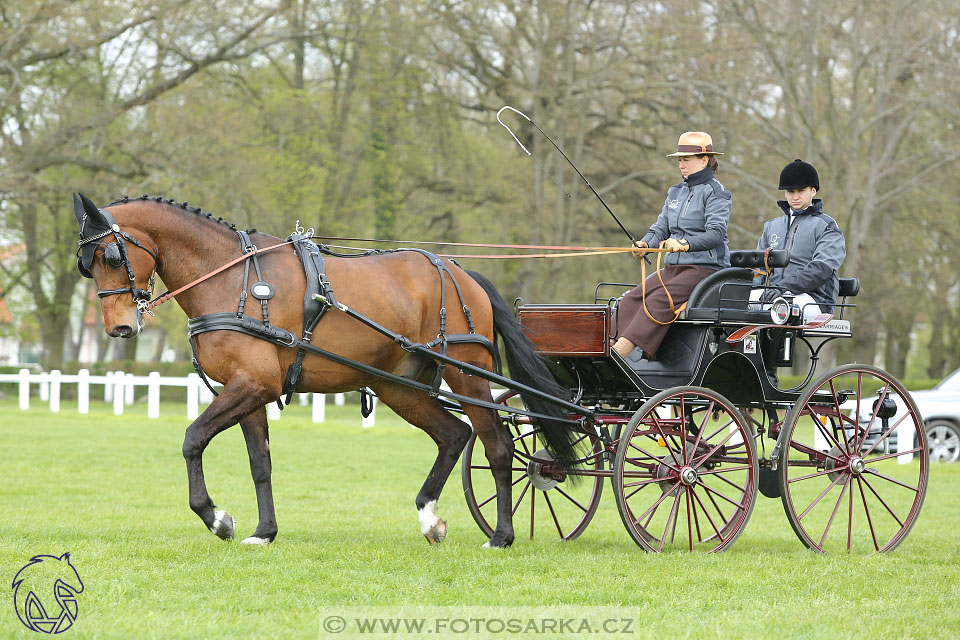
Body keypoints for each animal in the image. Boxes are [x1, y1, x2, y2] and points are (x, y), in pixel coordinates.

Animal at [73, 192, 576, 548]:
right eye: (85, 266)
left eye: (112, 257)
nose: (119, 326)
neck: (230, 280)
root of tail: (459, 271)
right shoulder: (247, 390)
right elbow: (260, 463)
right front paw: (264, 531)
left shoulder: (252, 385)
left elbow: (193, 438)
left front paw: (217, 518)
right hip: (398, 386)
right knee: (454, 435)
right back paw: (429, 518)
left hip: (468, 371)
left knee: (497, 443)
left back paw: (501, 535)